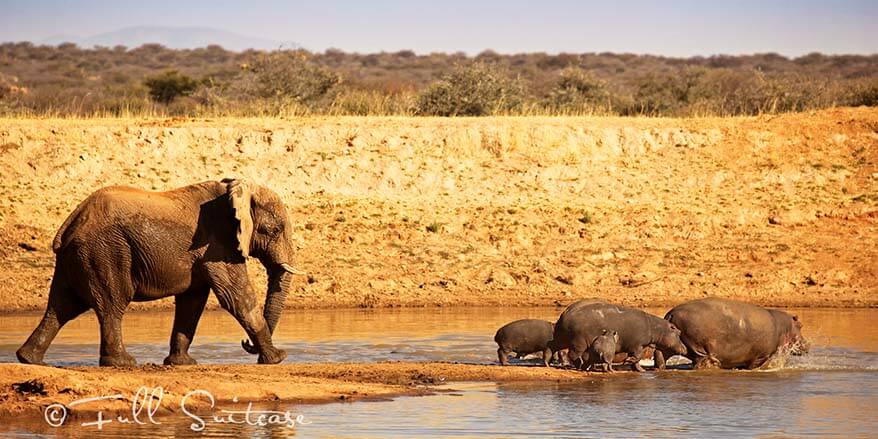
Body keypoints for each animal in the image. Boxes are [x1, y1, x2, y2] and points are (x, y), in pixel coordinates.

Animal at [14, 179, 300, 368]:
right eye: (274, 230)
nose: (245, 345)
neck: (235, 190)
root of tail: (71, 221)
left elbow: (192, 301)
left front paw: (182, 364)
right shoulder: (218, 243)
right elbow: (236, 297)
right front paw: (277, 359)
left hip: (79, 257)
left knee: (62, 306)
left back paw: (28, 359)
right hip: (104, 252)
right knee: (111, 305)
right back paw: (123, 363)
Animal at [552, 302, 692, 372]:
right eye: (678, 332)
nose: (686, 349)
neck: (656, 328)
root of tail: (565, 313)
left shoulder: (636, 346)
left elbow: (636, 360)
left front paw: (640, 370)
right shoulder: (638, 345)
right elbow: (637, 357)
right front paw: (630, 363)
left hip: (562, 339)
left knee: (559, 350)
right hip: (578, 343)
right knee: (573, 355)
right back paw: (580, 366)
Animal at [660, 298, 812, 370]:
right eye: (800, 325)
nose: (808, 344)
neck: (784, 327)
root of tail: (671, 313)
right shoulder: (760, 356)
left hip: (669, 345)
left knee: (661, 356)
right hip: (699, 347)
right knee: (702, 360)